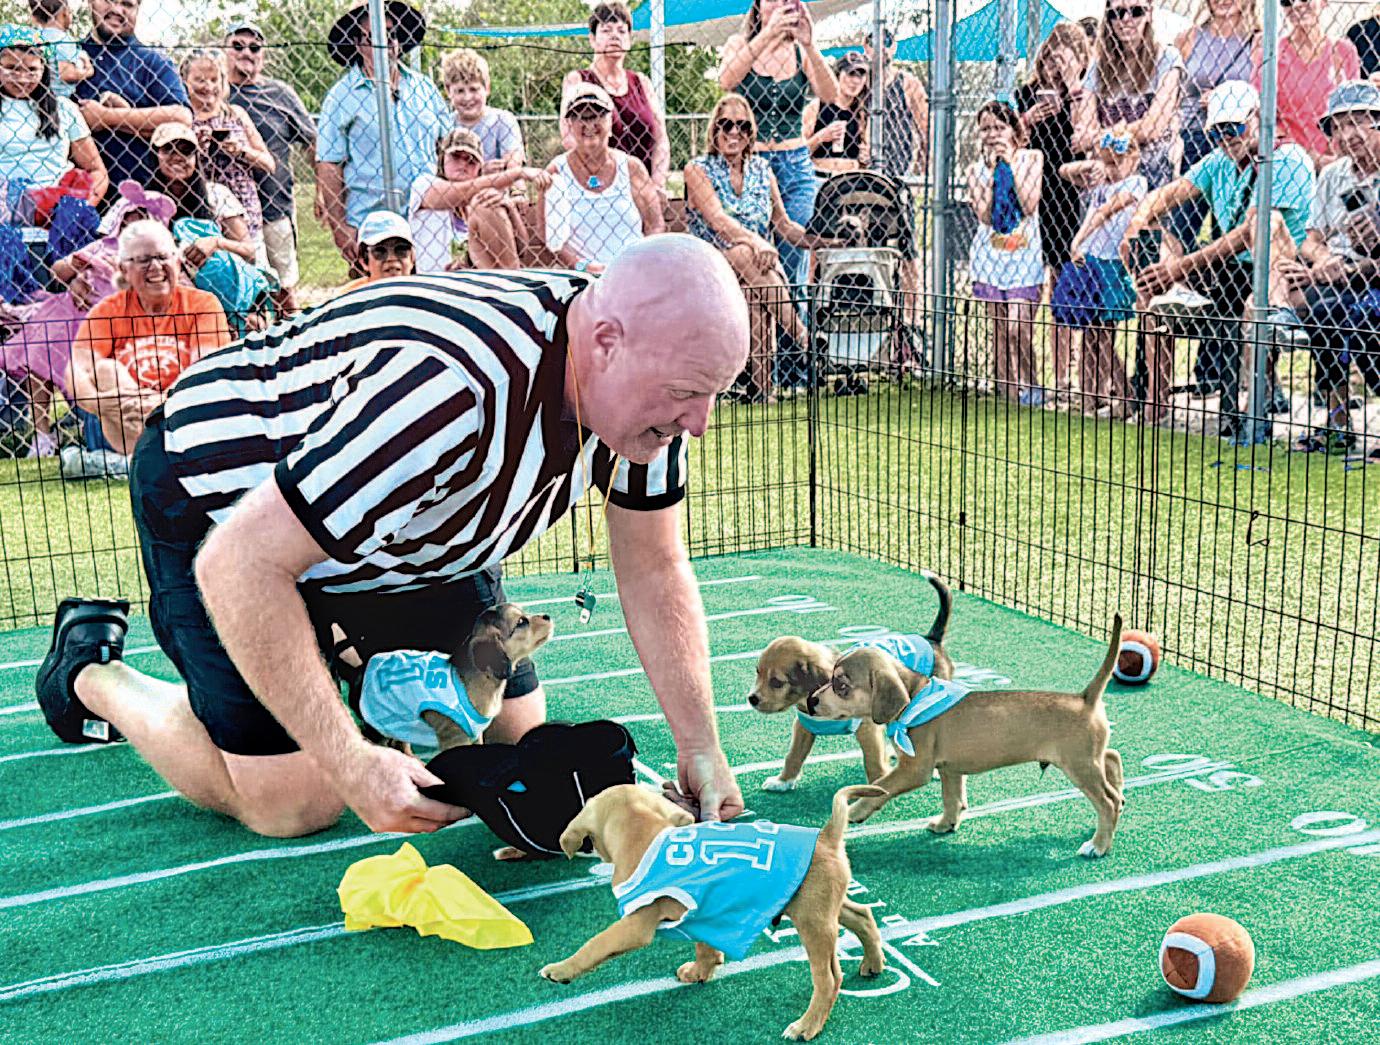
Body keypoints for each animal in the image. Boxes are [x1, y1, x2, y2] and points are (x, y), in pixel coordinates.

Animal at [539, 783, 887, 1041]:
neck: (644, 832)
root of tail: (827, 836)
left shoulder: (635, 925)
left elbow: (595, 944)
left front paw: (561, 969)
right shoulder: (704, 912)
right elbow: (704, 945)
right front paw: (700, 970)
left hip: (812, 923)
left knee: (829, 978)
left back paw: (807, 1025)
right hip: (823, 907)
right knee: (863, 915)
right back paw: (873, 963)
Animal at [748, 572, 953, 792]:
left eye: (777, 682)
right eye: (758, 672)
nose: (751, 699)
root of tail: (931, 640)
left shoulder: (868, 728)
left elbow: (873, 762)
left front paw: (876, 787)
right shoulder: (803, 726)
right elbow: (794, 755)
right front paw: (783, 781)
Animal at [806, 614, 1126, 858]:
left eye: (841, 686)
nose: (811, 700)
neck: (916, 696)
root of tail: (1085, 699)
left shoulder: (914, 770)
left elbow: (880, 786)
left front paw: (855, 810)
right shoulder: (950, 769)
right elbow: (952, 799)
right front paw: (946, 823)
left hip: (1078, 765)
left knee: (1106, 802)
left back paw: (1098, 845)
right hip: (1087, 758)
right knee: (1111, 758)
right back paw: (1119, 793)